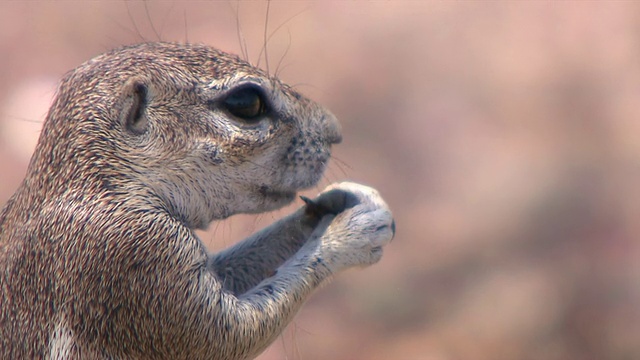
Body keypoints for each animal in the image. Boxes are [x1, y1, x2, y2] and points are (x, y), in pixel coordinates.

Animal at [0, 41, 396, 358]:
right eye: (246, 102)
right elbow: (226, 334)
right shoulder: (134, 255)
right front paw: (349, 231)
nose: (335, 131)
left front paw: (340, 202)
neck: (100, 180)